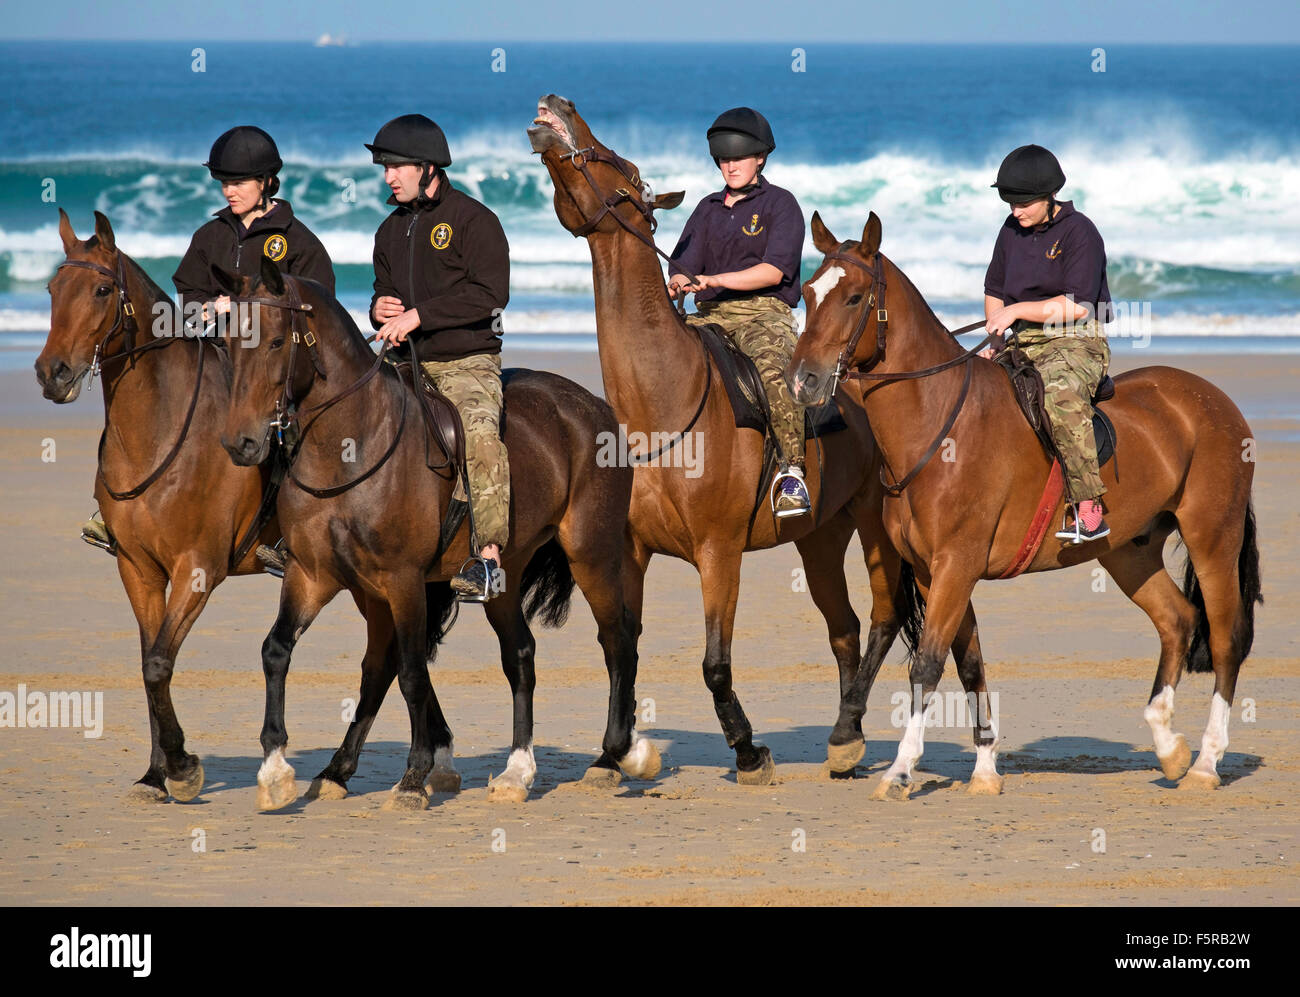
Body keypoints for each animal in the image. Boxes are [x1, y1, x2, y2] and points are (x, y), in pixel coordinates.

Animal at [32, 210, 279, 800]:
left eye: (102, 290)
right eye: (51, 290)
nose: (51, 372)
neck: (162, 432)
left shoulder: (198, 569)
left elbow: (160, 664)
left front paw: (183, 766)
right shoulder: (138, 569)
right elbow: (148, 662)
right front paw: (155, 773)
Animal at [785, 213, 1263, 800]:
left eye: (853, 297)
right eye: (808, 294)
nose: (802, 380)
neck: (937, 424)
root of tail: (1212, 400)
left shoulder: (956, 565)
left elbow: (927, 665)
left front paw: (900, 770)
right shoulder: (932, 572)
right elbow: (968, 665)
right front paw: (986, 770)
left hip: (1212, 538)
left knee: (1224, 639)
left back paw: (1205, 762)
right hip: (1129, 551)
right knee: (1177, 620)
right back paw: (1169, 747)